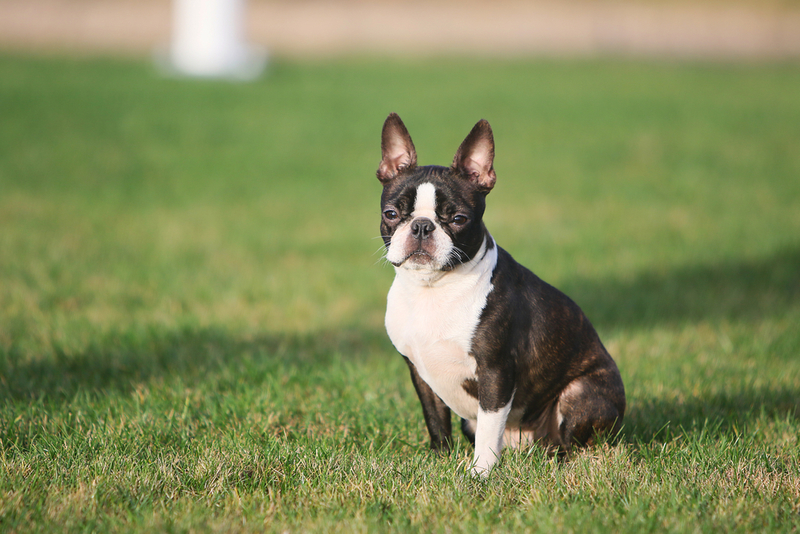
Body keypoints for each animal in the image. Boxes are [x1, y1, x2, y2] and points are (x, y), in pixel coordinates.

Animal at [378, 113, 628, 478]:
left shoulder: (495, 372)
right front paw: (440, 459)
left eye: (458, 219)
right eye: (391, 214)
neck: (433, 288)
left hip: (581, 392)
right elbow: (436, 421)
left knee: (572, 443)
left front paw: (480, 473)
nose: (422, 226)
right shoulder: (420, 374)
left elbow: (488, 428)